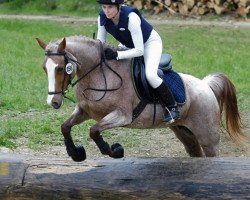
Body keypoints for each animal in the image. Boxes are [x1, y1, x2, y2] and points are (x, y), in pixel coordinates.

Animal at [36, 35, 245, 161]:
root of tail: (206, 85)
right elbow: (65, 126)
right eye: (45, 68)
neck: (98, 74)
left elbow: (94, 131)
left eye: (60, 68)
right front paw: (76, 153)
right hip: (185, 132)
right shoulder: (84, 111)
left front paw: (115, 151)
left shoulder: (122, 115)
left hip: (208, 136)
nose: (53, 102)